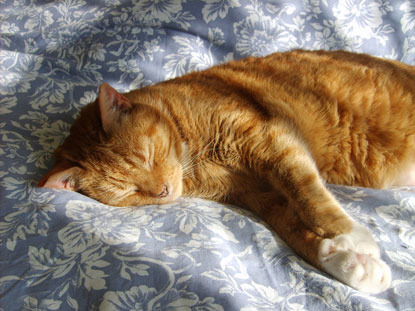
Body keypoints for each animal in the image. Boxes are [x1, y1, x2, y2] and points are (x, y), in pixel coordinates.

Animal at [36, 49, 415, 294]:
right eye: (127, 191)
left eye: (147, 156)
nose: (162, 192)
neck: (197, 158)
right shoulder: (260, 196)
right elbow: (295, 229)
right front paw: (349, 262)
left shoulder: (273, 141)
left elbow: (308, 194)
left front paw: (352, 236)